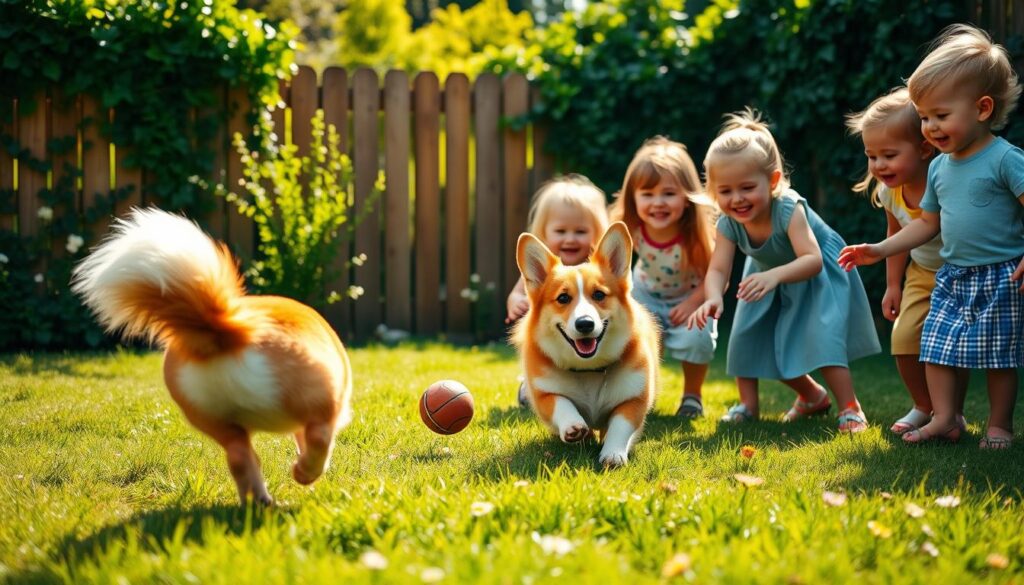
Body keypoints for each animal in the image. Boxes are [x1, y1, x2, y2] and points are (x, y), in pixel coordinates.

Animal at [72, 209, 352, 504]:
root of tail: (224, 331)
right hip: (318, 401)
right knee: (319, 437)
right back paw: (301, 474)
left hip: (211, 417)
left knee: (240, 457)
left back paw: (259, 499)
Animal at [512, 222, 663, 469]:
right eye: (563, 298)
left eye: (599, 294)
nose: (585, 323)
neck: (589, 369)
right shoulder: (544, 394)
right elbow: (561, 403)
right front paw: (573, 427)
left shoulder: (634, 399)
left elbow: (620, 425)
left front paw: (612, 454)